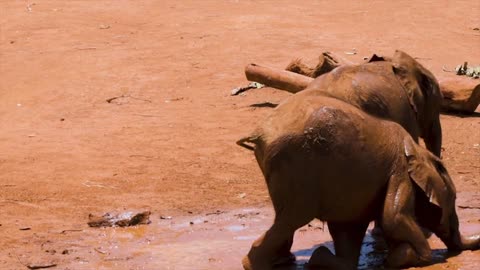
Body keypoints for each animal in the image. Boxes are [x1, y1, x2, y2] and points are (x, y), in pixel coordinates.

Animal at [237, 92, 480, 268]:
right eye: (453, 201)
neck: (418, 152)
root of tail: (261, 133)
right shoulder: (400, 171)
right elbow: (393, 217)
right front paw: (413, 256)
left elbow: (348, 230)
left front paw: (321, 259)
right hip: (296, 165)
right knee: (293, 217)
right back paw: (253, 264)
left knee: (286, 218)